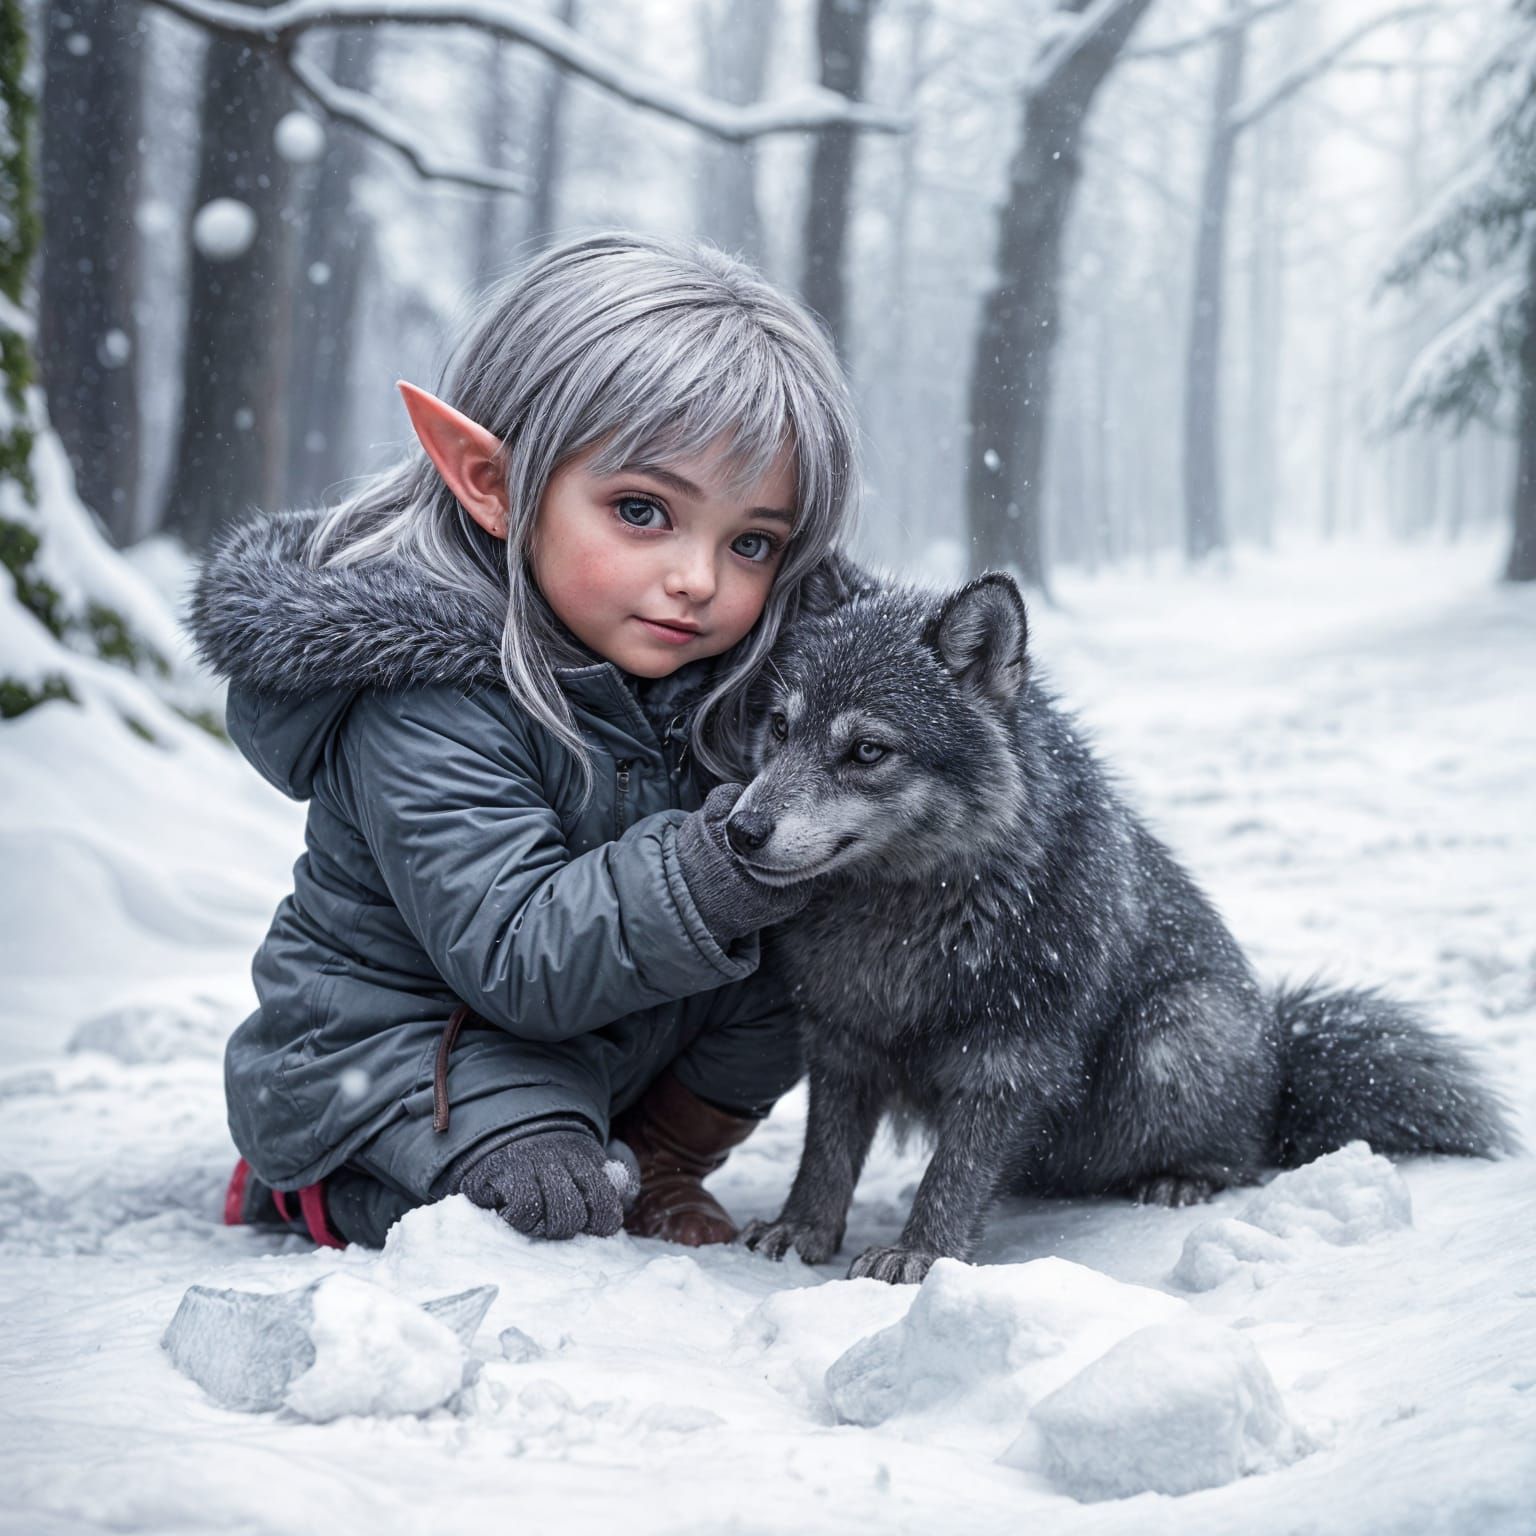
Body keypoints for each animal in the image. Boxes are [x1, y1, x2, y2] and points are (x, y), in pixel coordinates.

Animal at [734, 572, 1515, 1284]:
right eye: (780, 728)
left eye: (867, 750)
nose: (739, 831)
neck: (900, 915)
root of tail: (1284, 1066)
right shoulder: (841, 1041)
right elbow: (825, 1158)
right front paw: (801, 1233)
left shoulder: (1012, 1054)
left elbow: (954, 1174)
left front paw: (922, 1253)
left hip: (1175, 1029)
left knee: (1242, 1159)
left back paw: (1181, 1178)